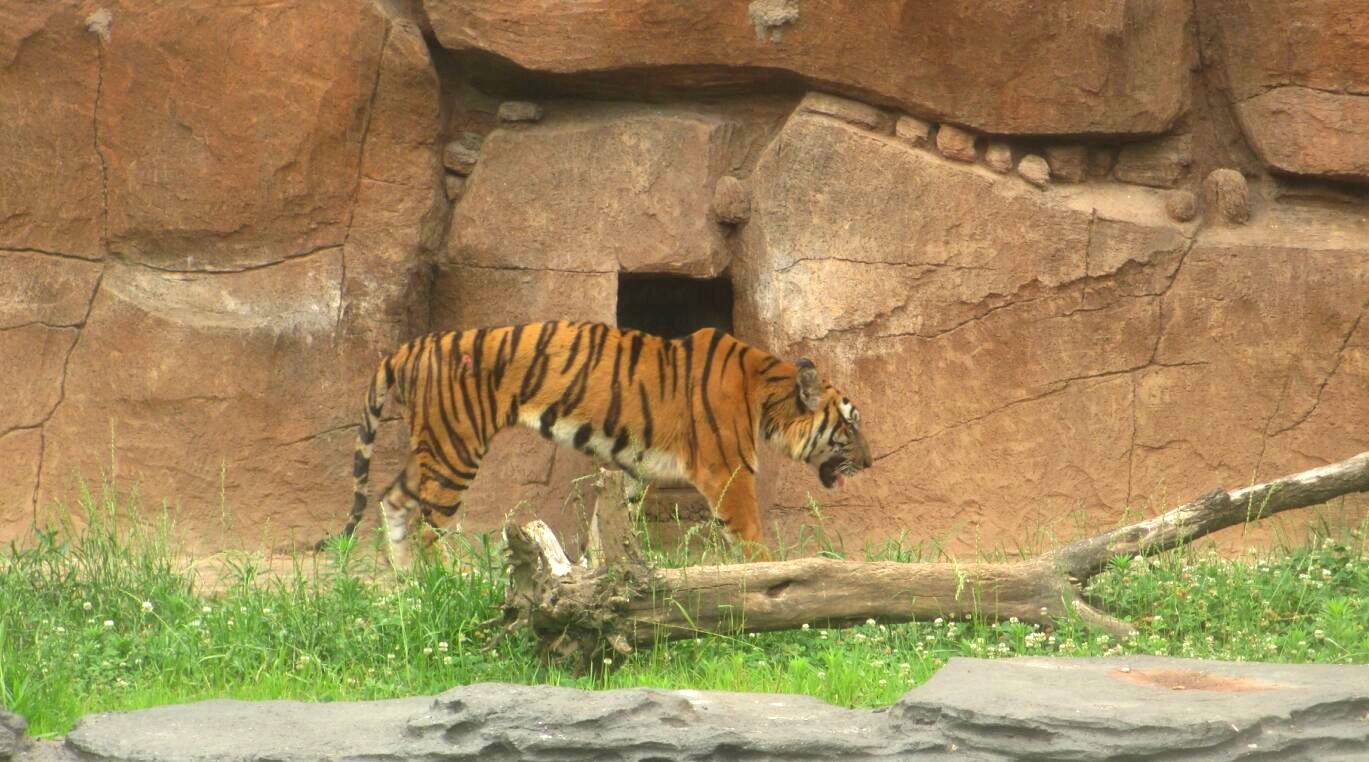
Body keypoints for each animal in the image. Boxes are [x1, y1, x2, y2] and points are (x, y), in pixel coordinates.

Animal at [324, 321, 871, 564]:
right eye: (850, 425)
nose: (870, 462)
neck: (765, 392)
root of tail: (407, 348)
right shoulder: (728, 473)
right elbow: (754, 538)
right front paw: (770, 579)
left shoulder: (633, 470)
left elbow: (604, 530)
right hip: (454, 448)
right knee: (427, 525)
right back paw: (443, 583)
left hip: (432, 446)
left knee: (393, 501)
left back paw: (408, 591)